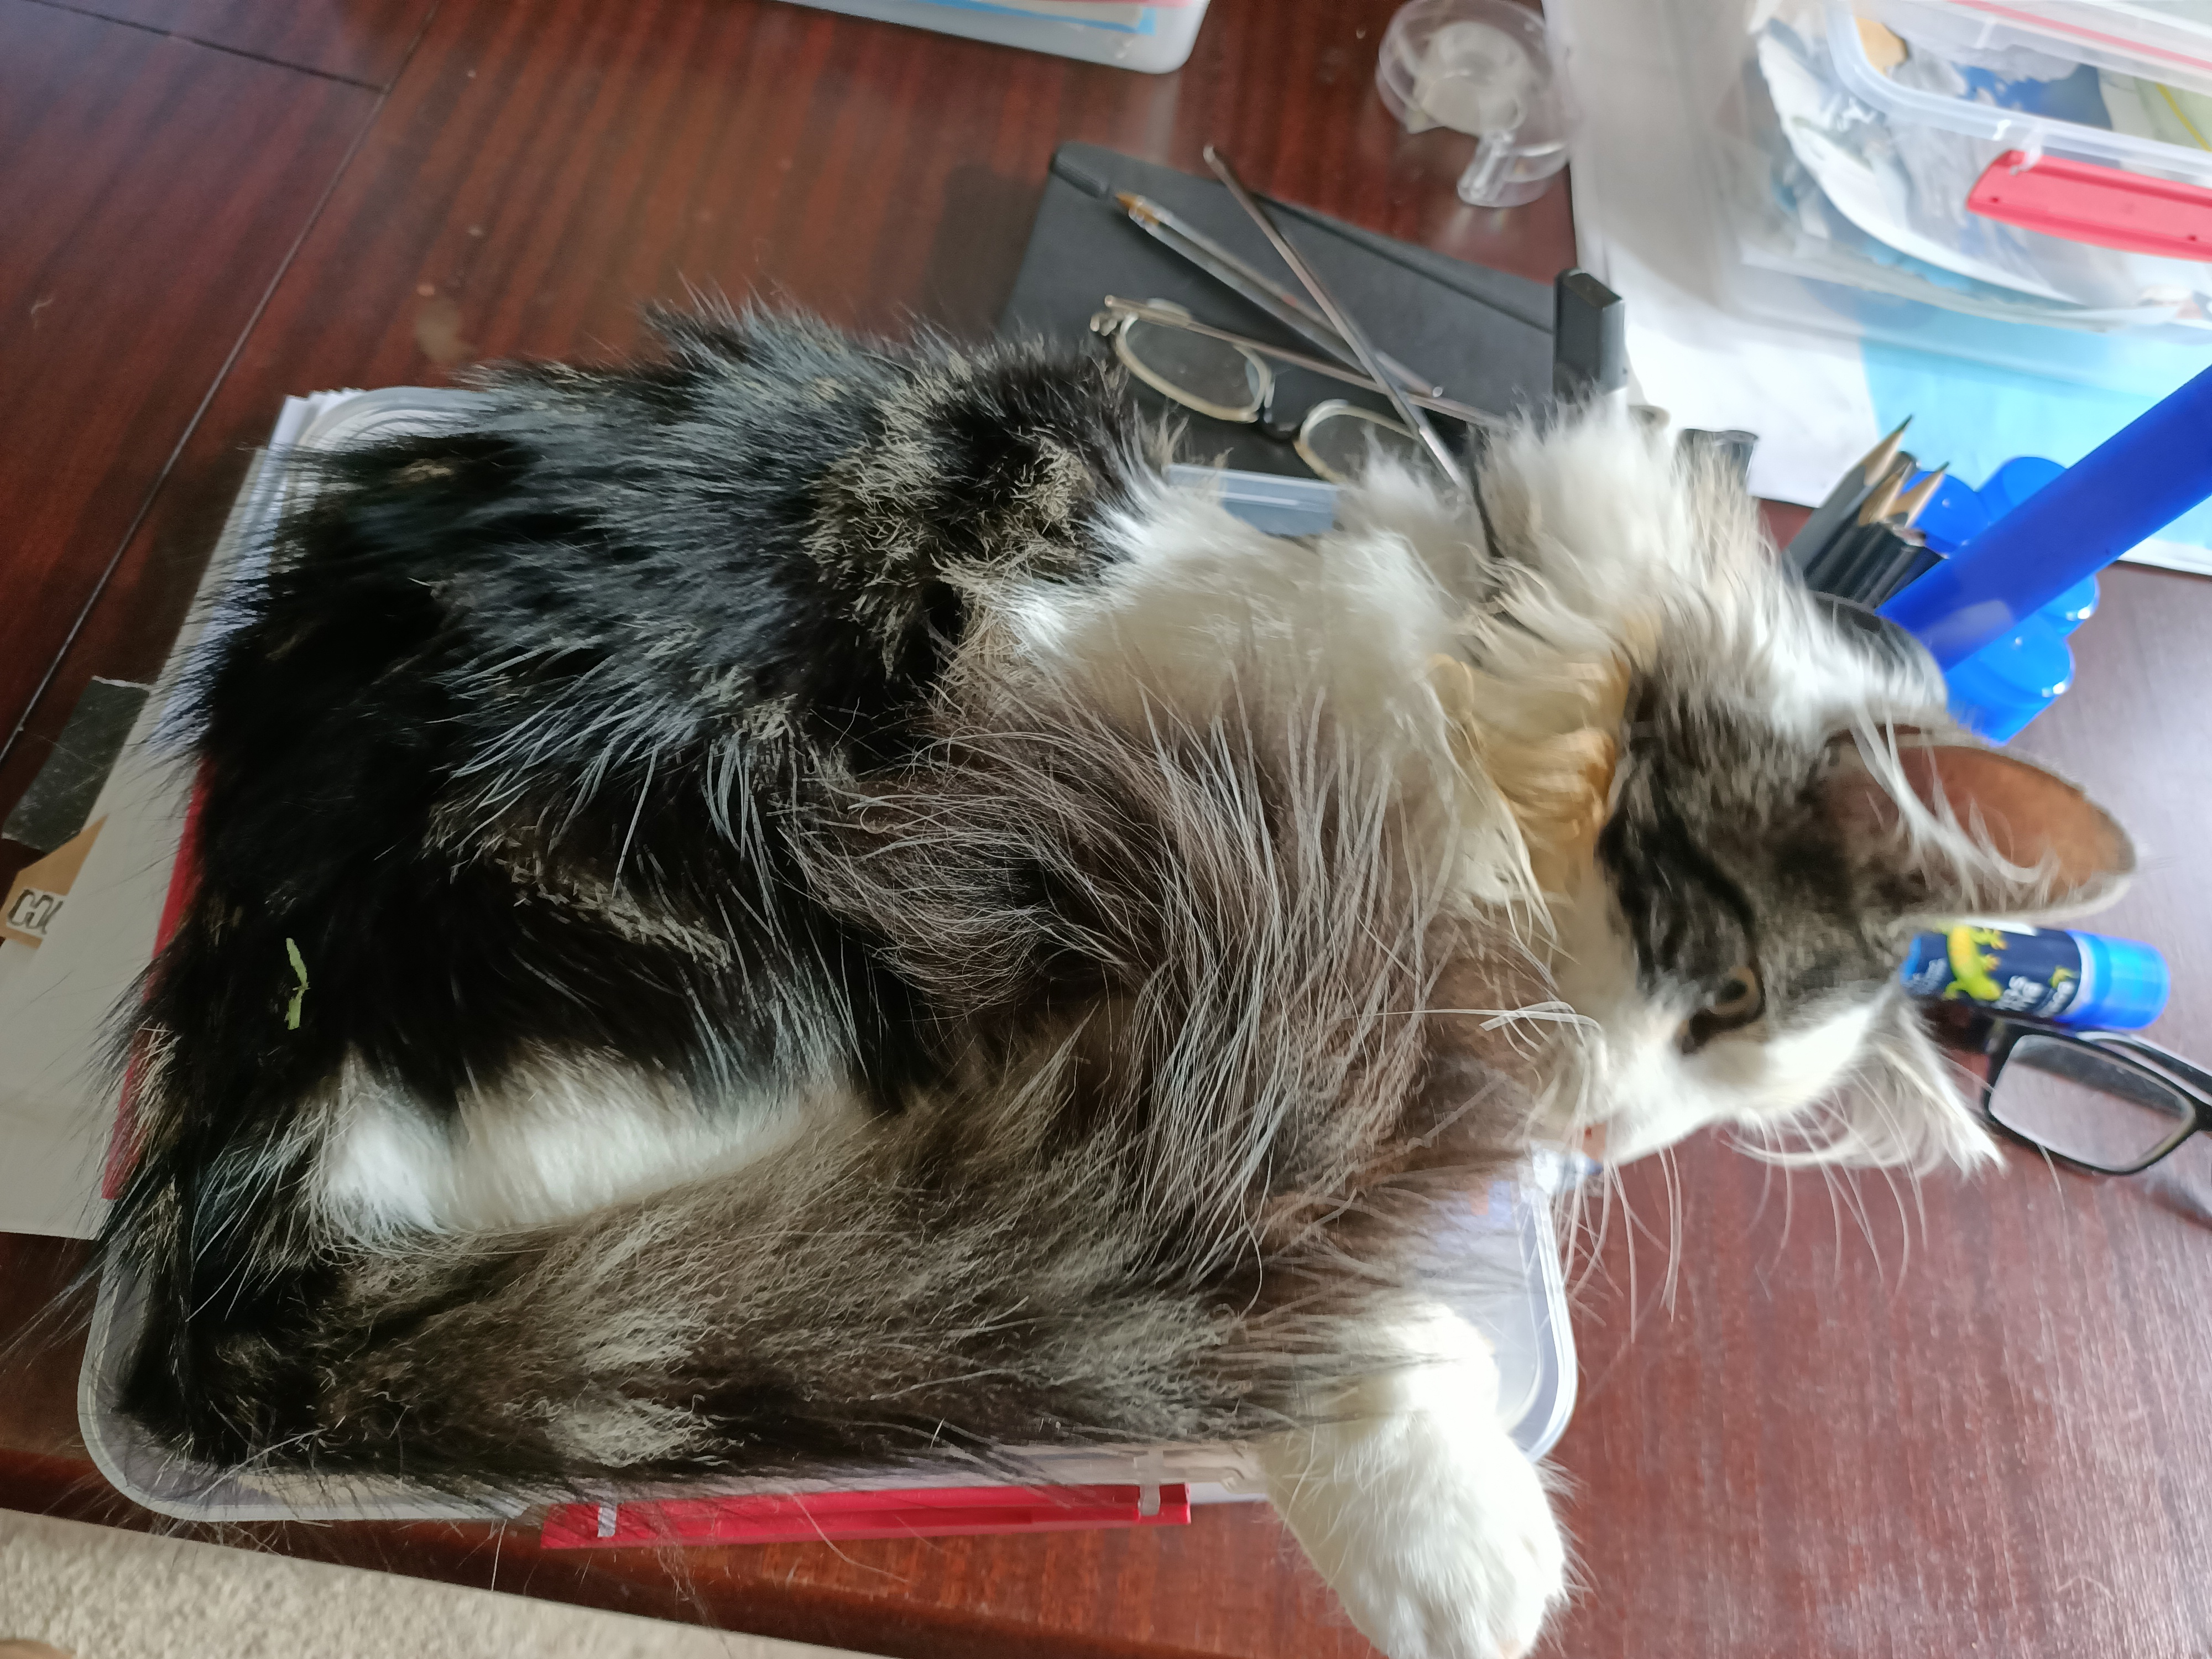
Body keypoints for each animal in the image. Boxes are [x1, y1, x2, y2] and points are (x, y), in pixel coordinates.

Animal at [101, 308, 2132, 1659]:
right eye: (1722, 998)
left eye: (1717, 1107)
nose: (1605, 1134)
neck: (1473, 679)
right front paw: (1456, 1547)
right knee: (1015, 1283)